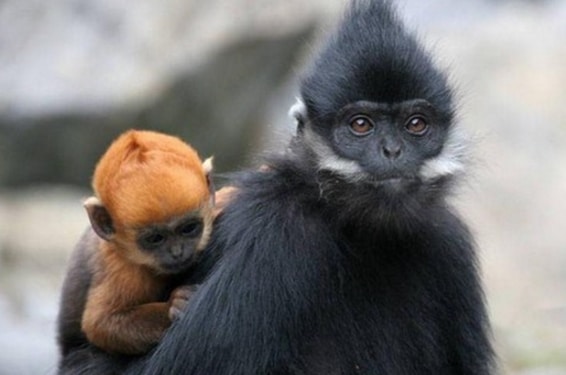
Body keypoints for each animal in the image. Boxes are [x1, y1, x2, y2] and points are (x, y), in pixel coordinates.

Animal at [57, 130, 217, 362]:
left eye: (188, 228)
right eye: (155, 239)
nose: (177, 252)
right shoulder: (123, 269)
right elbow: (100, 323)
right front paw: (174, 305)